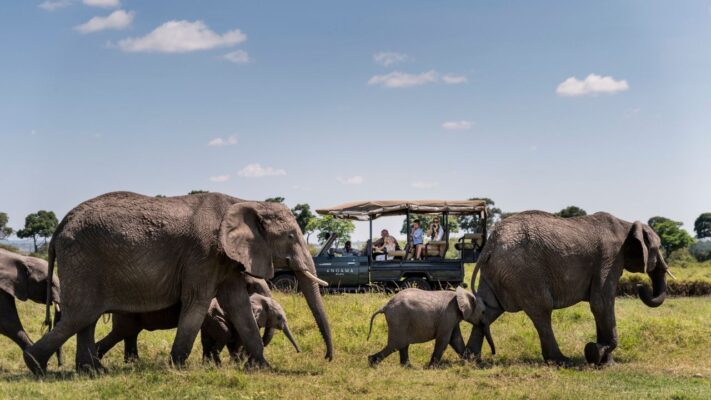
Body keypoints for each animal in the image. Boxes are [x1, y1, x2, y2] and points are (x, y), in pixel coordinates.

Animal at [23, 191, 333, 375]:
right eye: (291, 237)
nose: (327, 359)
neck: (245, 201)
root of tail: (60, 226)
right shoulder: (203, 255)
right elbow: (198, 301)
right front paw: (178, 367)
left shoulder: (224, 260)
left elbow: (238, 306)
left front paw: (262, 368)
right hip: (83, 261)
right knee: (80, 315)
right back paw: (37, 367)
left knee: (85, 318)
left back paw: (92, 372)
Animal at [466, 211, 670, 366]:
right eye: (659, 247)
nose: (641, 285)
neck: (626, 224)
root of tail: (489, 245)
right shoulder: (610, 258)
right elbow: (601, 303)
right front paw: (595, 353)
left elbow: (599, 306)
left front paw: (604, 361)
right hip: (523, 272)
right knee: (542, 310)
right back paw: (562, 361)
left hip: (497, 271)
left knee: (489, 309)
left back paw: (470, 359)